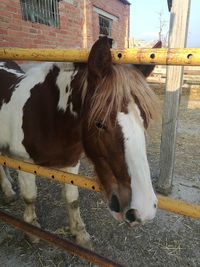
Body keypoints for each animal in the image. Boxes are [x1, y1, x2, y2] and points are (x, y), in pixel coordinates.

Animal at [0, 37, 160, 249]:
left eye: (146, 120)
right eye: (100, 123)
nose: (143, 210)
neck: (48, 115)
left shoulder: (72, 161)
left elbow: (72, 199)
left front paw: (79, 233)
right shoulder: (23, 161)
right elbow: (30, 197)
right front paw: (32, 229)